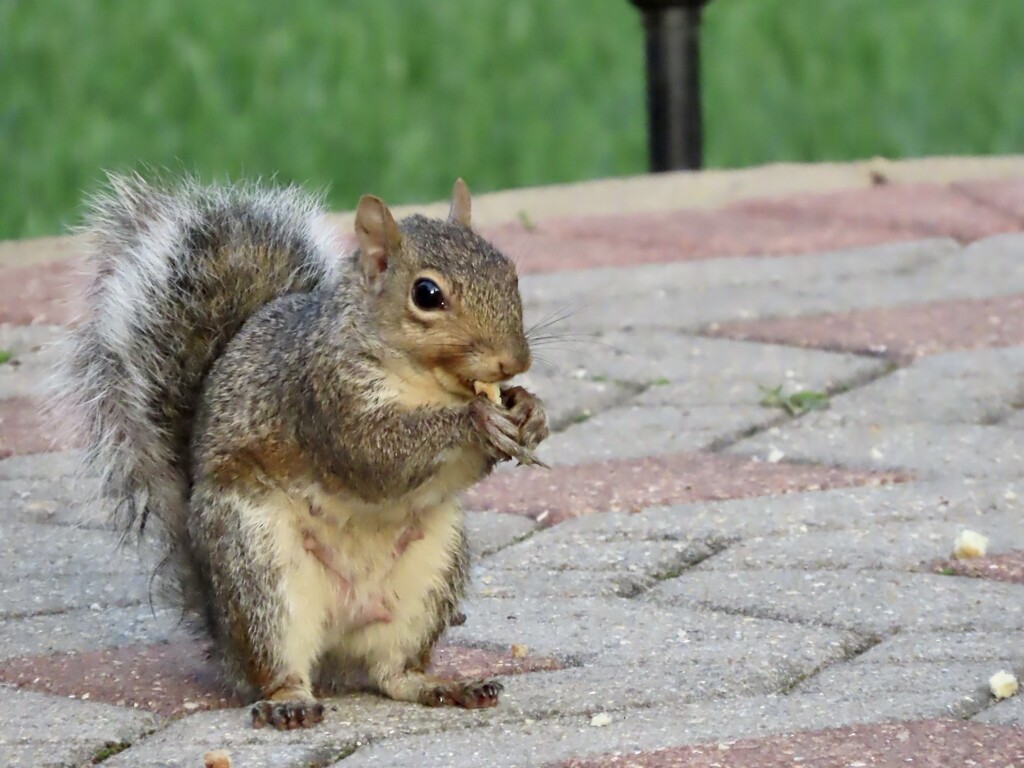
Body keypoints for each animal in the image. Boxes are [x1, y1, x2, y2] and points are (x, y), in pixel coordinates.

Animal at [57, 176, 548, 733]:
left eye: (509, 270)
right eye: (427, 294)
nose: (514, 361)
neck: (426, 382)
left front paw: (529, 410)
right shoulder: (324, 397)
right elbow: (375, 455)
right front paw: (477, 420)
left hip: (430, 574)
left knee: (394, 673)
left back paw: (445, 685)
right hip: (258, 567)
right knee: (277, 663)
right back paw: (288, 701)